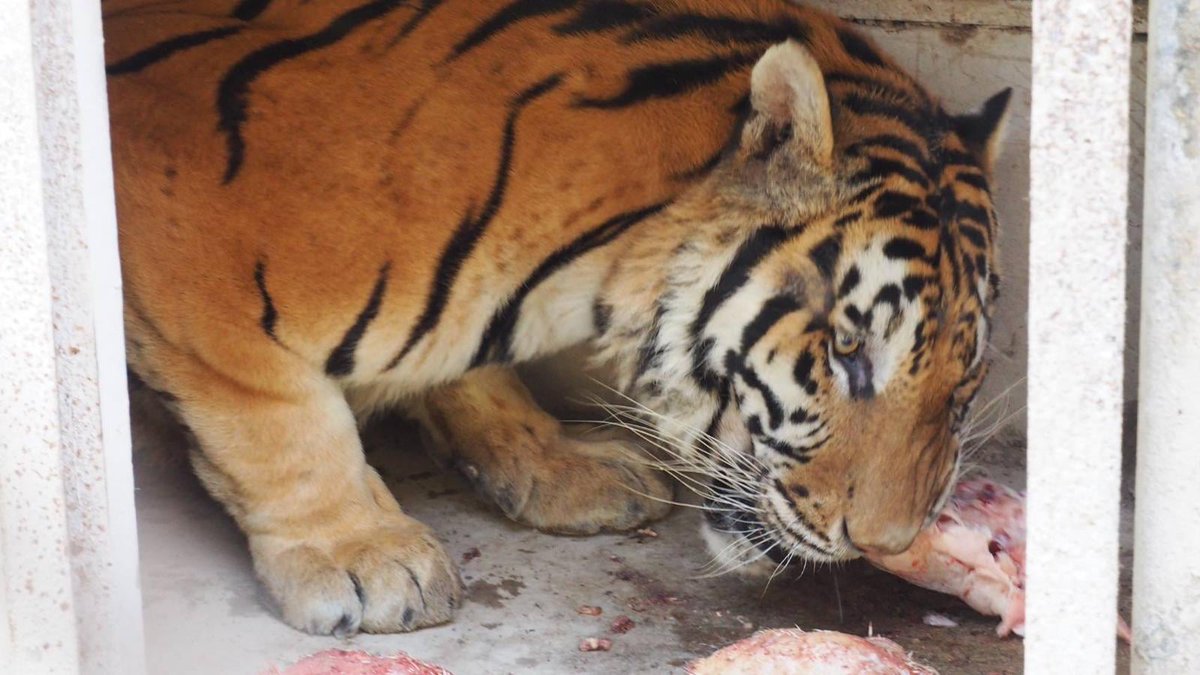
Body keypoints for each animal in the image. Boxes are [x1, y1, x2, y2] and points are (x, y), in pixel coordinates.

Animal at [104, 0, 1011, 636]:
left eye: (964, 380)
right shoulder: (185, 250)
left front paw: (558, 462)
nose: (887, 543)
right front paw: (360, 554)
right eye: (849, 350)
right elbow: (277, 419)